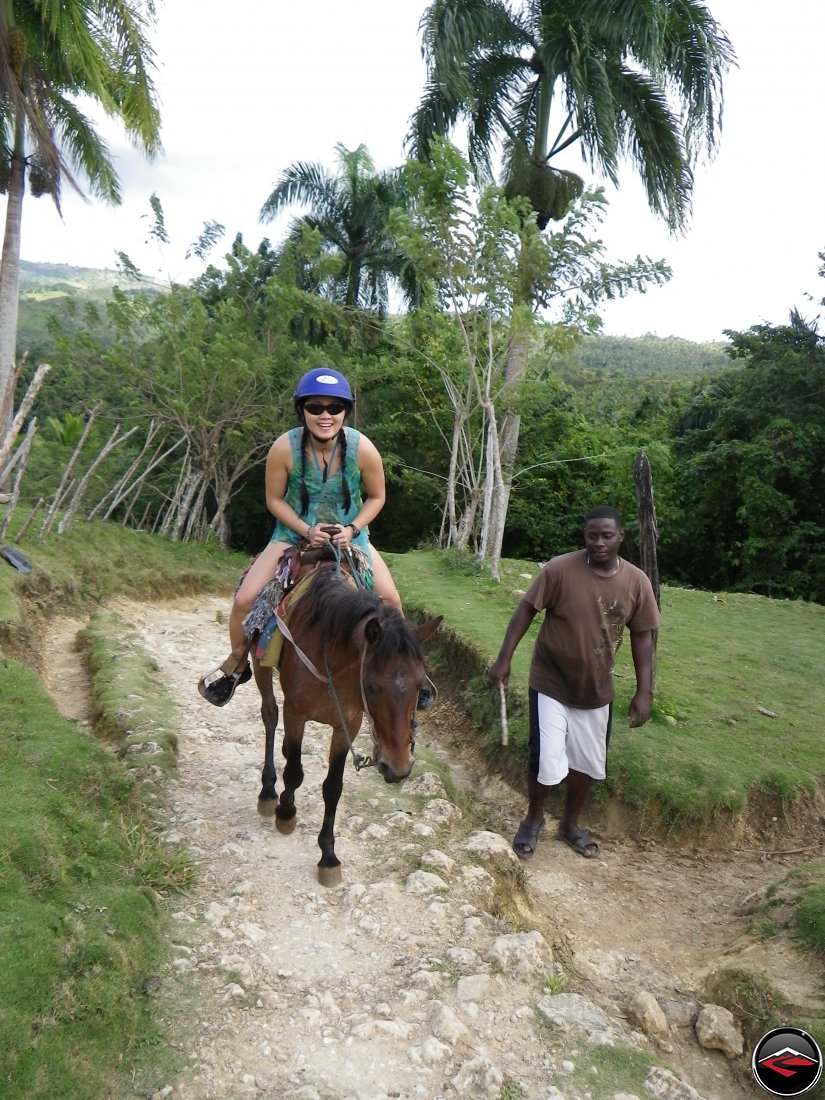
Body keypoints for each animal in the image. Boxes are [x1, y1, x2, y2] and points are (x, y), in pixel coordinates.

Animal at [254, 563, 442, 888]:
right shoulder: (295, 714)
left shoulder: (347, 726)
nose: (399, 767)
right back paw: (268, 791)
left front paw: (328, 856)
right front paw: (286, 812)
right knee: (269, 715)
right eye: (371, 686)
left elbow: (333, 787)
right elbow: (294, 773)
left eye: (421, 686)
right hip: (260, 667)